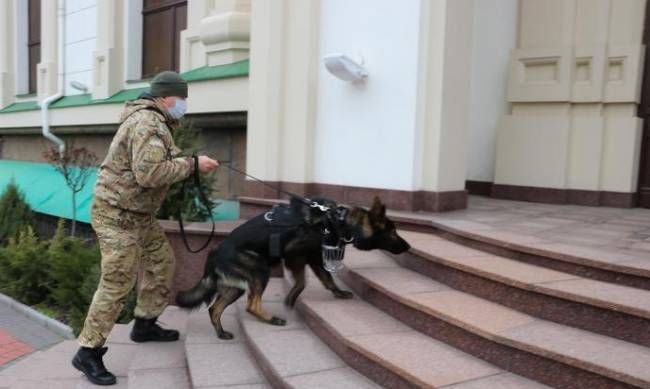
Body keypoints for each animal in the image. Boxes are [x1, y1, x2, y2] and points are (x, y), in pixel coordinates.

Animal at [176, 196, 410, 338]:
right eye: (393, 232)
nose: (408, 247)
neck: (339, 220)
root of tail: (213, 254)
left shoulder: (307, 258)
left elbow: (312, 281)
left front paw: (295, 297)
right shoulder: (301, 255)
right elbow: (316, 279)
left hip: (236, 287)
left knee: (214, 309)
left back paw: (221, 333)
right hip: (260, 271)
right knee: (251, 305)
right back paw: (271, 319)